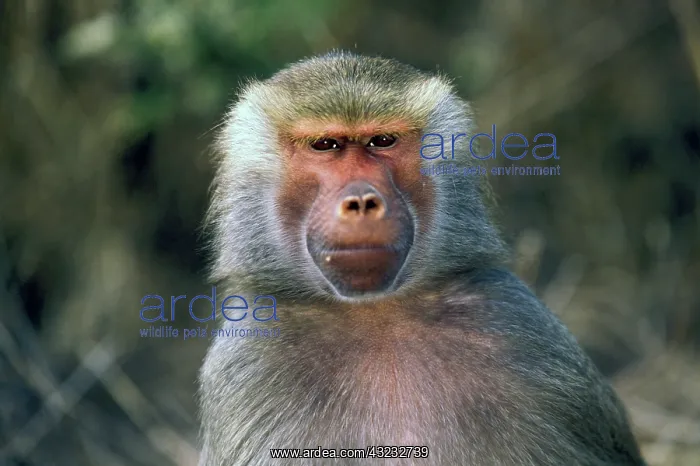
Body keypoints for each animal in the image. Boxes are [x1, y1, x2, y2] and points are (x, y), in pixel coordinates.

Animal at [197, 51, 646, 466]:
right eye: (325, 145)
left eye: (382, 141)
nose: (362, 202)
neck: (377, 314)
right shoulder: (248, 367)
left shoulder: (524, 331)